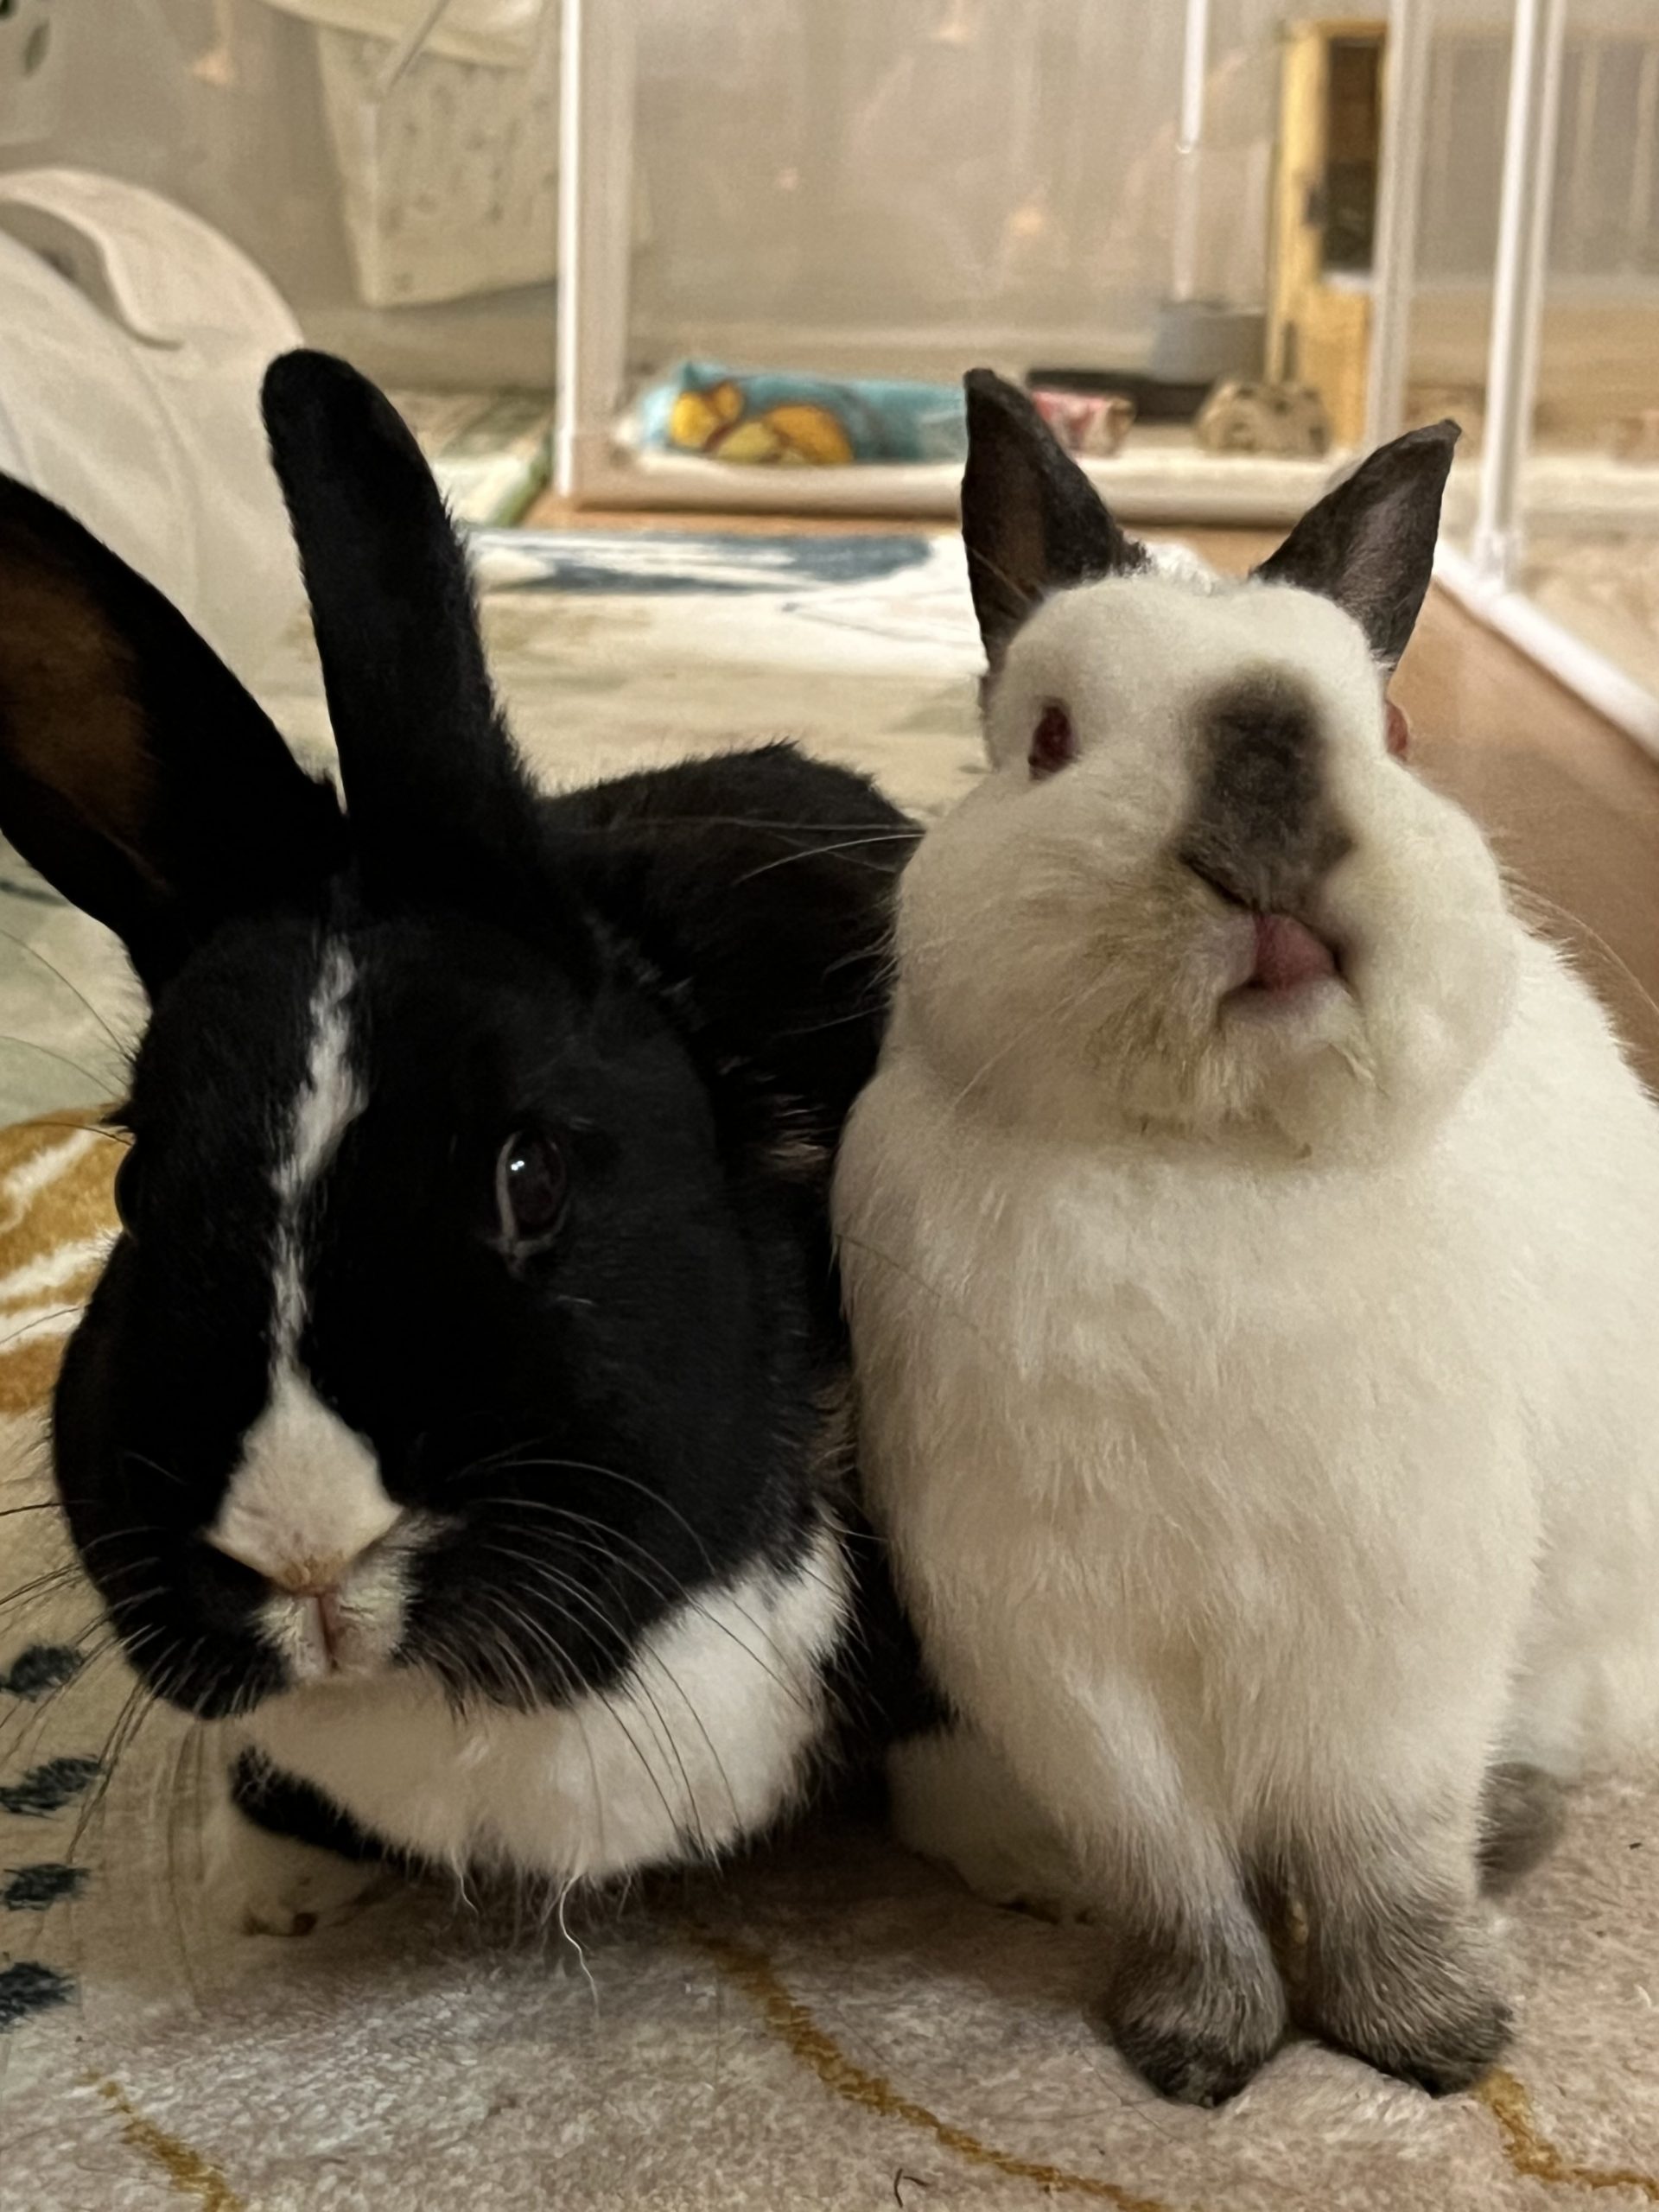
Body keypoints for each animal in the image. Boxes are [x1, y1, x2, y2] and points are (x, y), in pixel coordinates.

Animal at [833, 369, 1659, 2107]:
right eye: (1052, 740)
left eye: (1391, 735)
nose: (1269, 832)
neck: (1208, 1161)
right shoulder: (1064, 1659)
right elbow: (1175, 1871)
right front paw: (1199, 2050)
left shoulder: (1398, 1634)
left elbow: (1379, 1853)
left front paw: (1434, 2042)